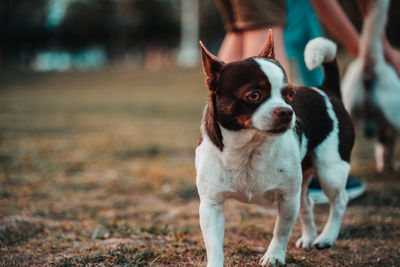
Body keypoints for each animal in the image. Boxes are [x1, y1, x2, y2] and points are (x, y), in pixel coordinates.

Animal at [195, 30, 354, 266]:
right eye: (254, 95)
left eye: (290, 94)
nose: (287, 111)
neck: (250, 149)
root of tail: (326, 90)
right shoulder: (211, 205)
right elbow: (214, 244)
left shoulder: (287, 200)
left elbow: (281, 231)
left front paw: (274, 256)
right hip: (305, 179)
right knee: (307, 203)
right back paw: (310, 237)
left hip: (330, 171)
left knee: (339, 201)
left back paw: (326, 237)